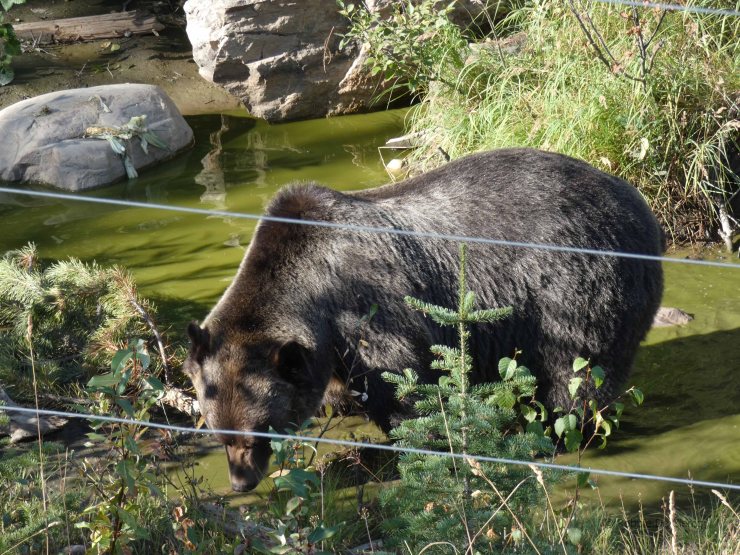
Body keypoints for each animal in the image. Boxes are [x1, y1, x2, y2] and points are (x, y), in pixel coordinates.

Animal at [183, 148, 664, 492]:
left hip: (577, 287)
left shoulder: (372, 312)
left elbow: (406, 389)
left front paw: (412, 445)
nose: (241, 482)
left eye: (256, 434)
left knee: (576, 374)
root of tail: (636, 200)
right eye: (219, 432)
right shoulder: (330, 347)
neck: (315, 295)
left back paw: (557, 430)